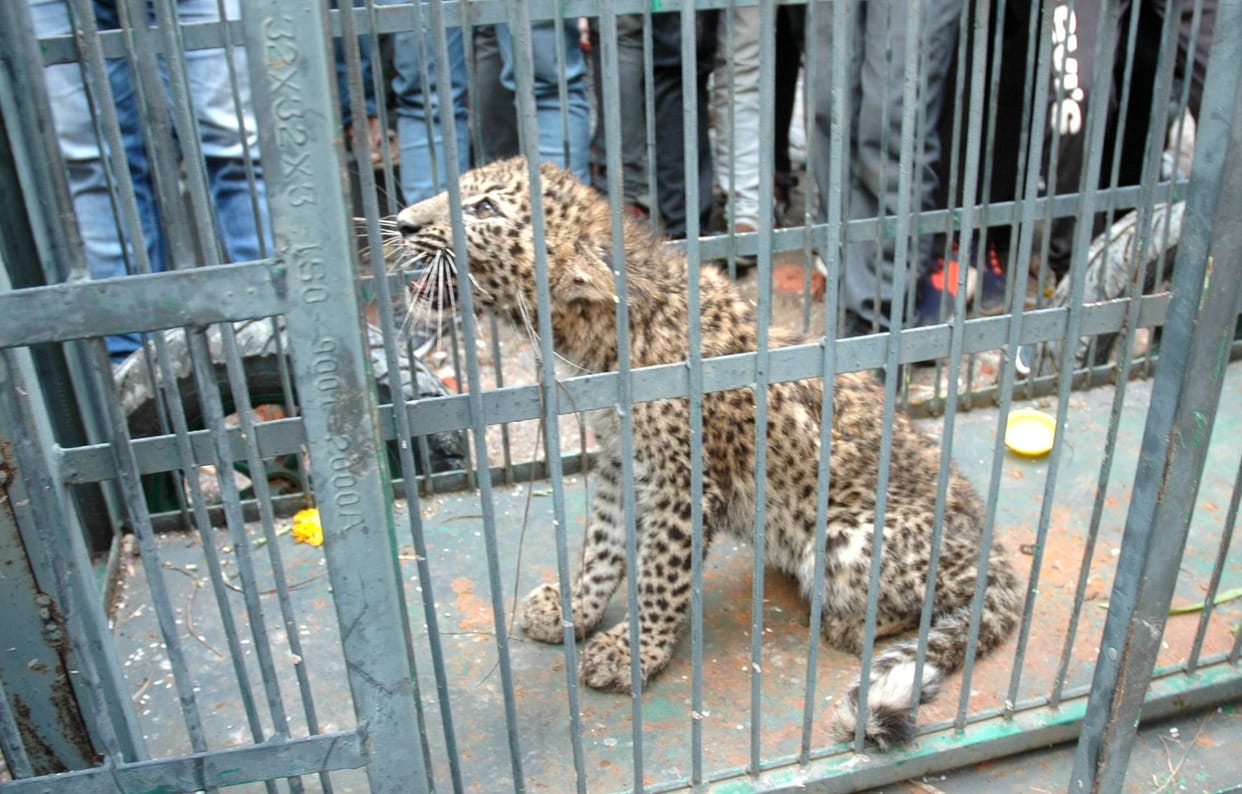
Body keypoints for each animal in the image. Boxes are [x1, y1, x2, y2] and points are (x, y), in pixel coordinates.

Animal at [393, 157, 1021, 749]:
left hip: (848, 537)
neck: (598, 339)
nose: (402, 222)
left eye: (485, 210)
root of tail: (993, 545)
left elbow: (657, 579)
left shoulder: (684, 484)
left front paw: (631, 654)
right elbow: (602, 547)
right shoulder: (620, 464)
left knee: (941, 596)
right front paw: (573, 610)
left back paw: (847, 622)